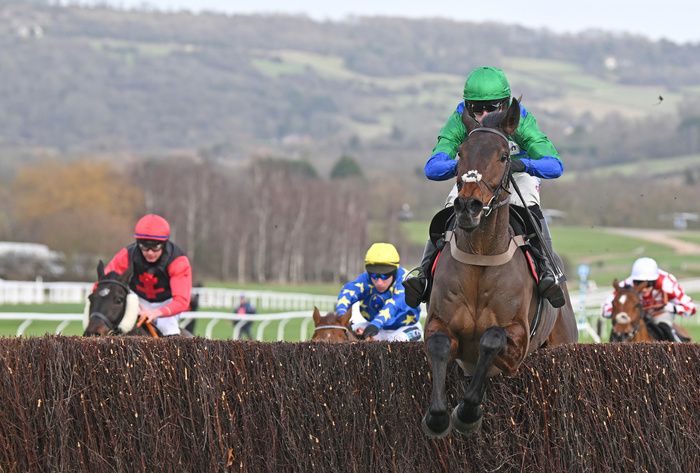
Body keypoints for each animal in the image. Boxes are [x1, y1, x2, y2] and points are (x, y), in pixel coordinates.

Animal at [422, 97, 580, 436]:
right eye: (460, 153)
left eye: (505, 155)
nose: (468, 206)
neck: (482, 253)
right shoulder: (439, 323)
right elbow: (440, 345)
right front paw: (438, 416)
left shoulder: (517, 343)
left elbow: (490, 340)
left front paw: (468, 412)